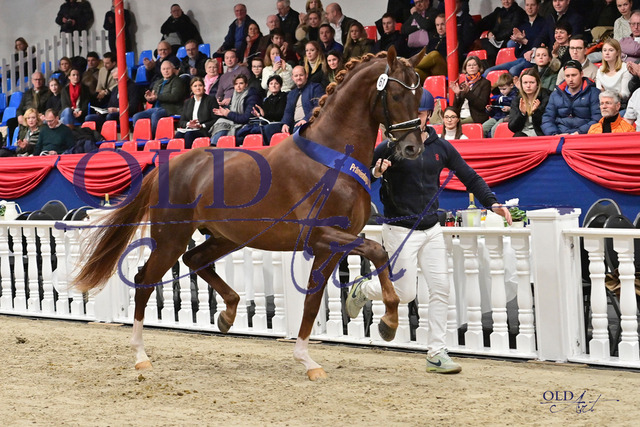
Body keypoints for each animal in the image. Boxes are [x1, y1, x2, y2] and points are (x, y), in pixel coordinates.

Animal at [74, 46, 426, 380]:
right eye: (397, 94)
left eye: (418, 93)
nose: (413, 148)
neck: (332, 160)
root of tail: (166, 166)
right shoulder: (322, 235)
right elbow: (378, 251)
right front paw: (389, 322)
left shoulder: (333, 246)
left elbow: (313, 300)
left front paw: (307, 360)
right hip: (170, 239)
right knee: (145, 281)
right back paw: (140, 355)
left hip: (226, 237)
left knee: (194, 260)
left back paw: (228, 314)